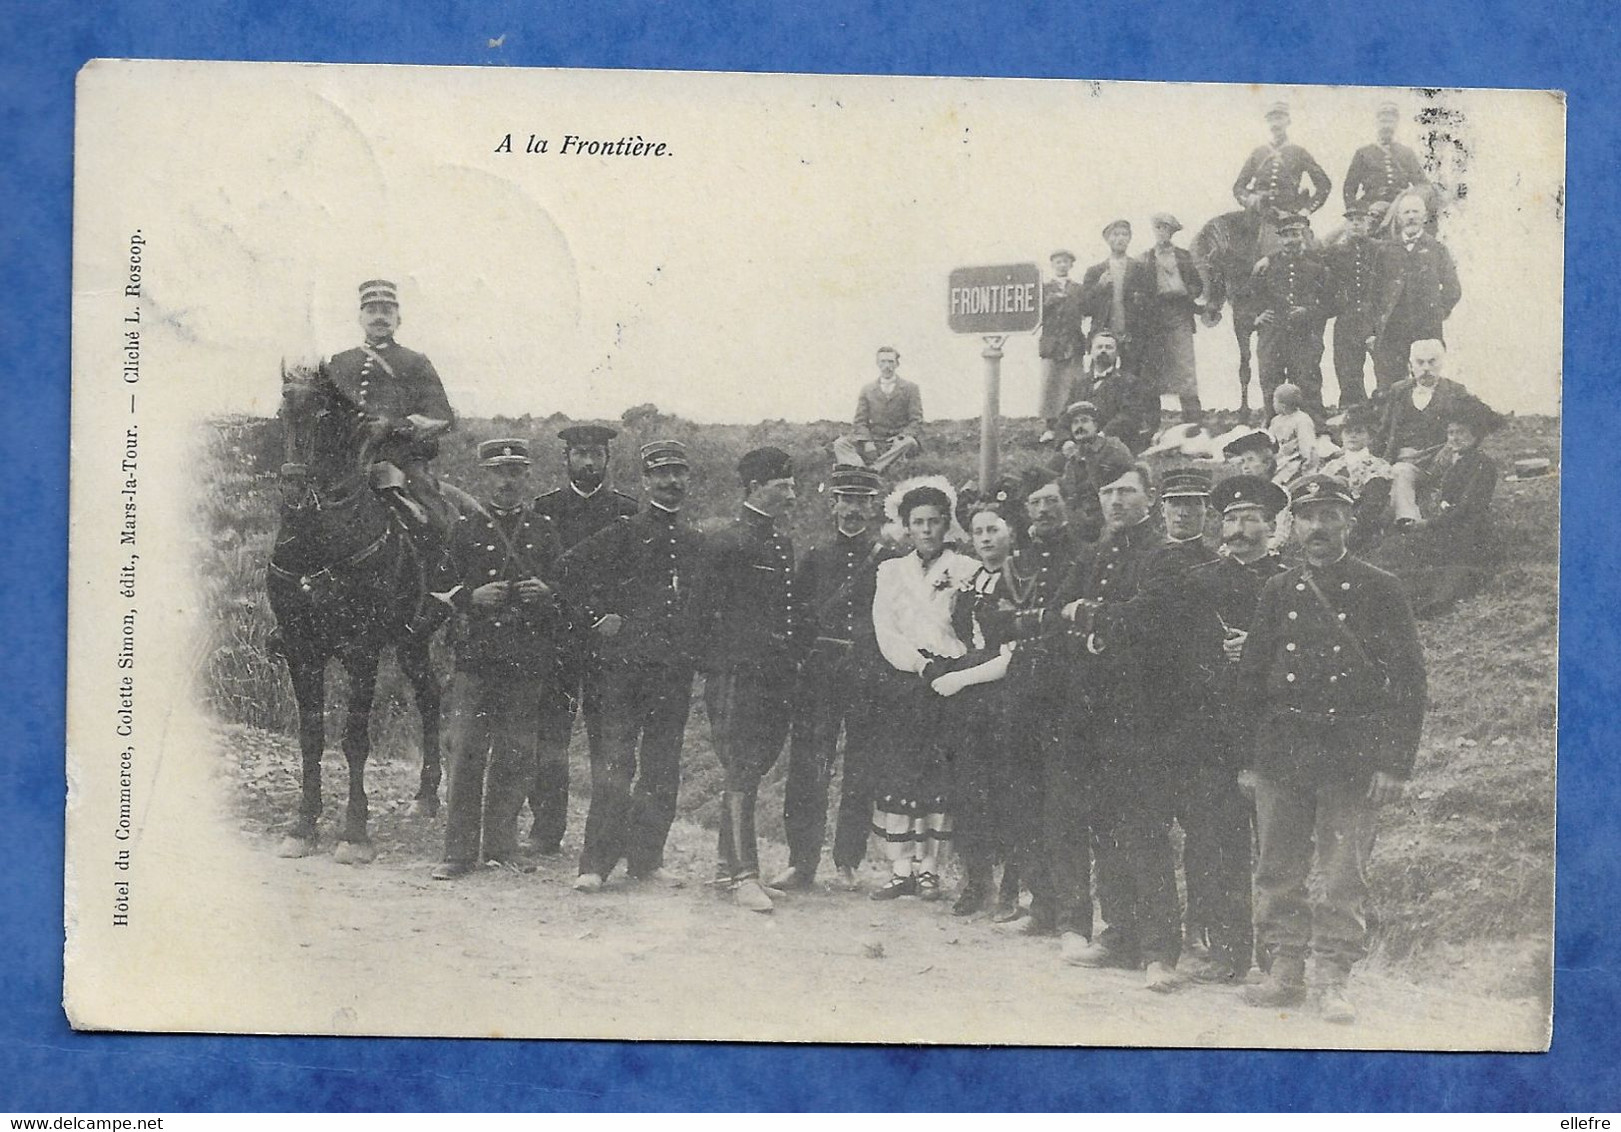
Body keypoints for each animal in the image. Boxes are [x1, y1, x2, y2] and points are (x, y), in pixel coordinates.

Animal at [269, 356, 463, 862]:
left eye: (323, 417)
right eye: (282, 415)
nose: (294, 488)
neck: (320, 537)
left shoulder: (361, 650)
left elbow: (355, 739)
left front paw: (354, 832)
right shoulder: (301, 648)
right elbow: (311, 736)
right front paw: (303, 826)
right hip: (412, 640)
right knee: (429, 695)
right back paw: (426, 796)